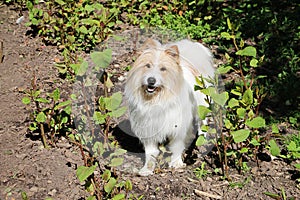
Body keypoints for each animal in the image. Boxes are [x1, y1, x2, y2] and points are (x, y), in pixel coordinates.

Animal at [124, 38, 216, 176]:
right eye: (148, 66)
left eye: (163, 69)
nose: (151, 80)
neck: (157, 99)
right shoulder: (148, 128)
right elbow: (150, 152)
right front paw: (147, 169)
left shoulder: (179, 127)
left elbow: (177, 146)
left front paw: (176, 163)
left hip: (202, 106)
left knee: (202, 123)